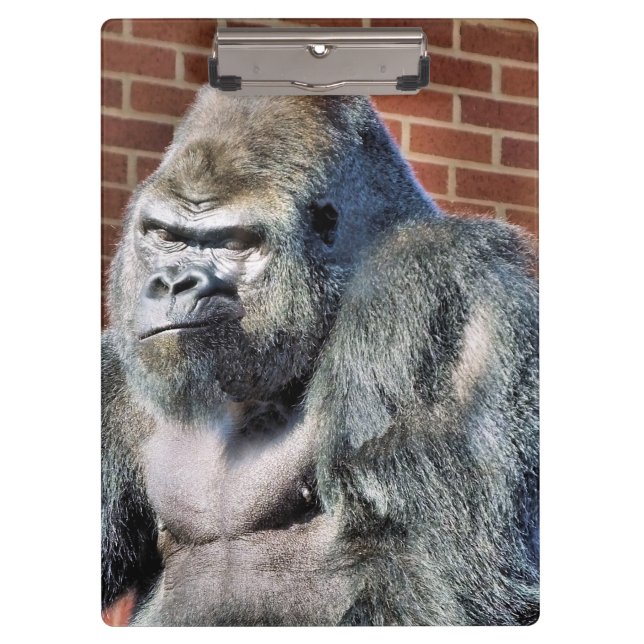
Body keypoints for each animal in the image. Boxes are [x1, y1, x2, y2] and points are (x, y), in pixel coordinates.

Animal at [102, 87, 539, 626]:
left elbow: (454, 585)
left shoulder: (434, 285)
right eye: (164, 235)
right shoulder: (113, 378)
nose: (173, 282)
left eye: (234, 243)